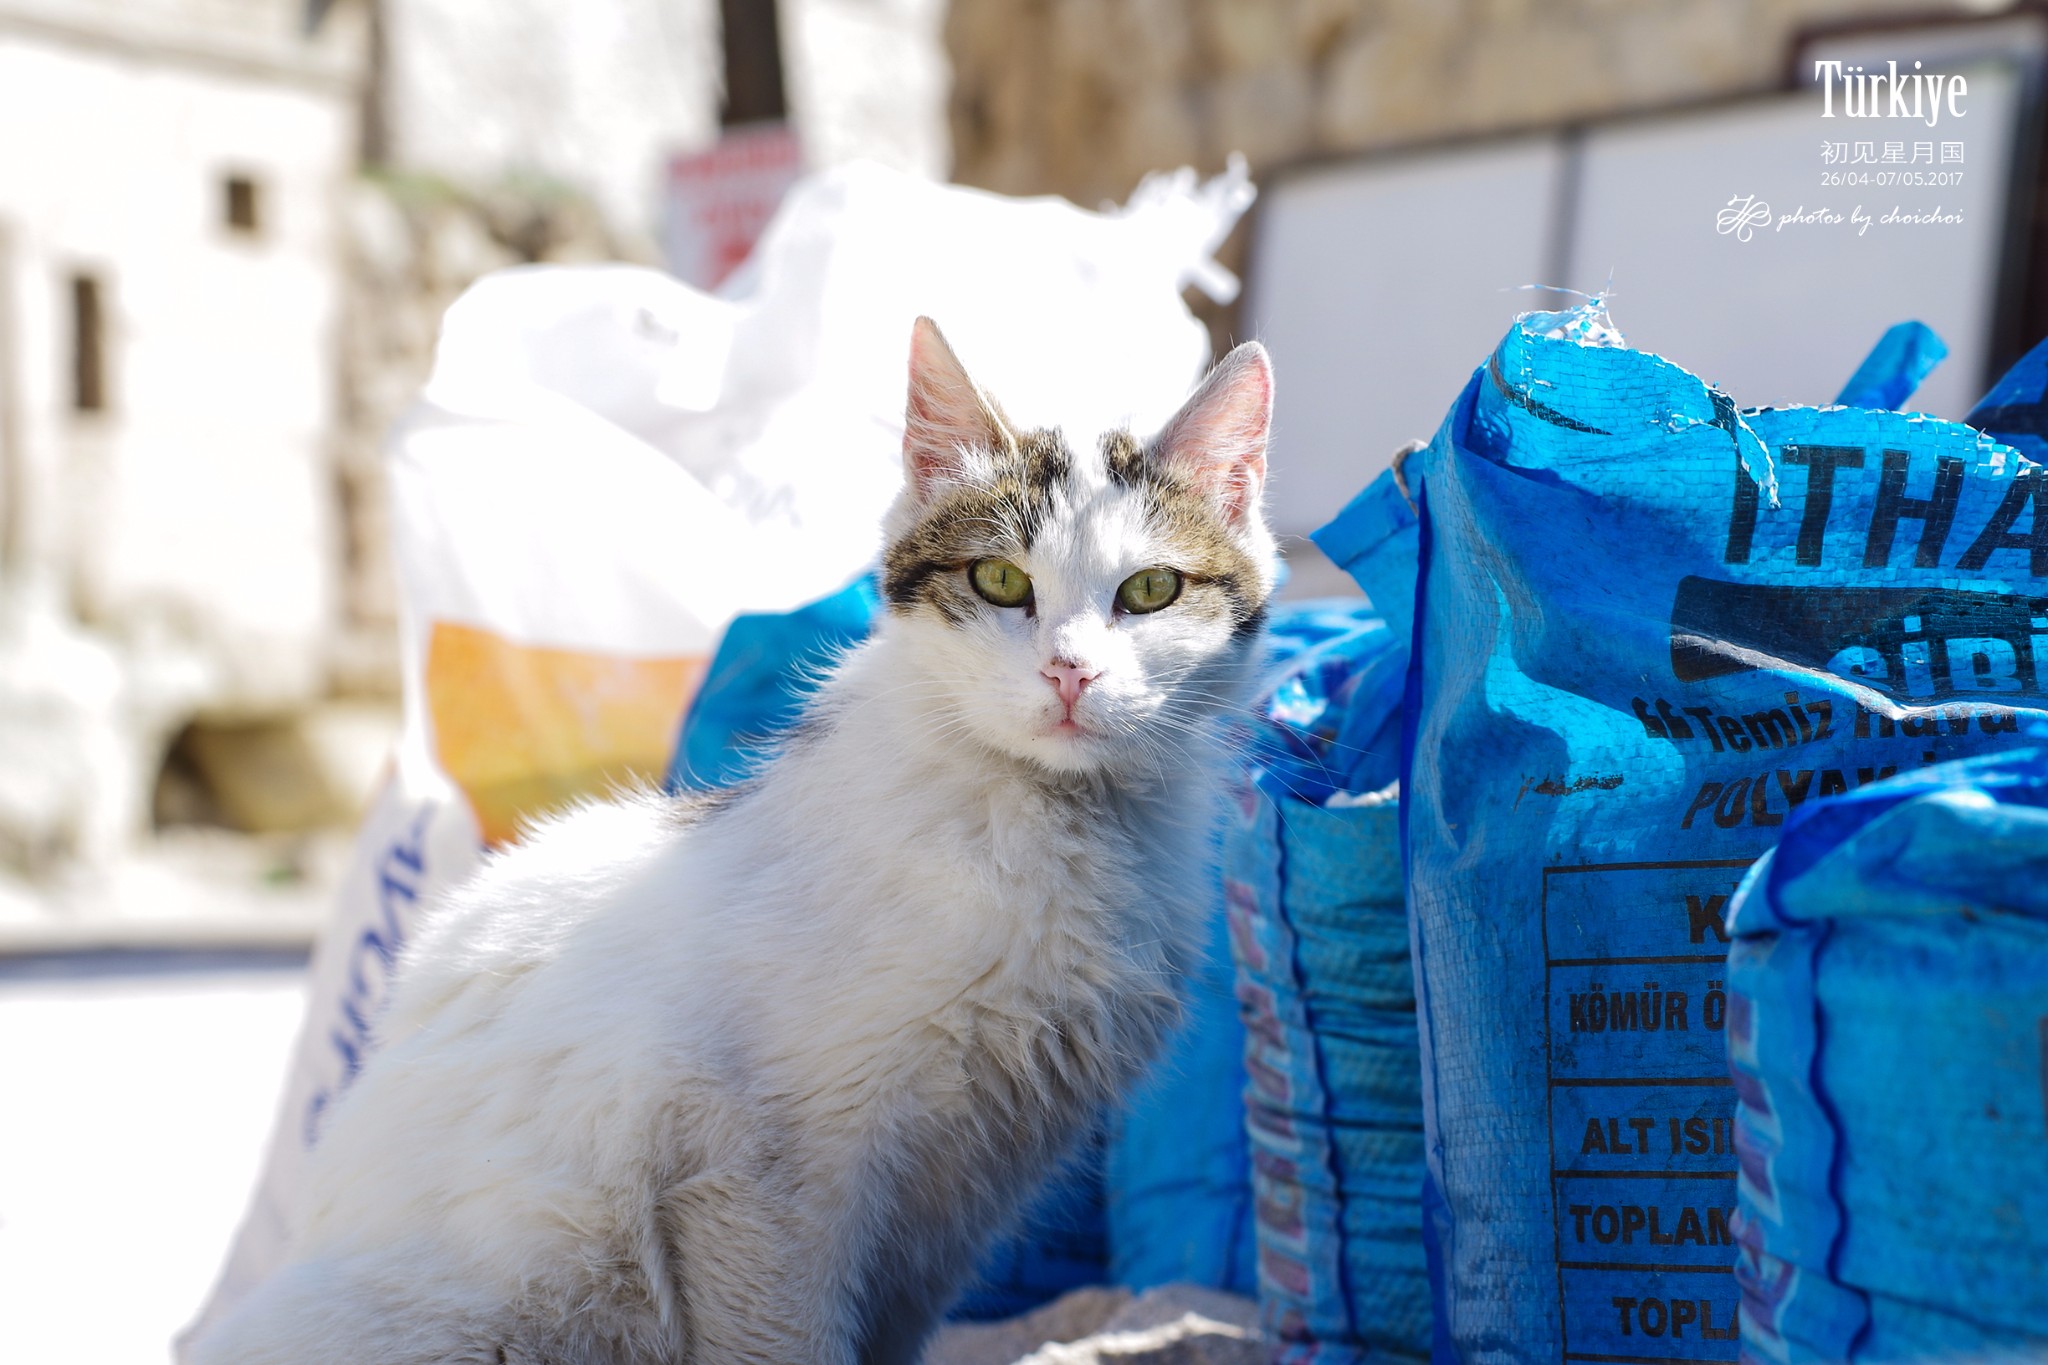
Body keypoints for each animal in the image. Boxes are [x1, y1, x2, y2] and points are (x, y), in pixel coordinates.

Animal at [195, 317, 1277, 1365]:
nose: (1070, 673)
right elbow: (788, 1340)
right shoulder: (762, 1182)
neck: (1051, 825)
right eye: (1002, 578)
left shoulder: (947, 1219)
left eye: (1149, 591)